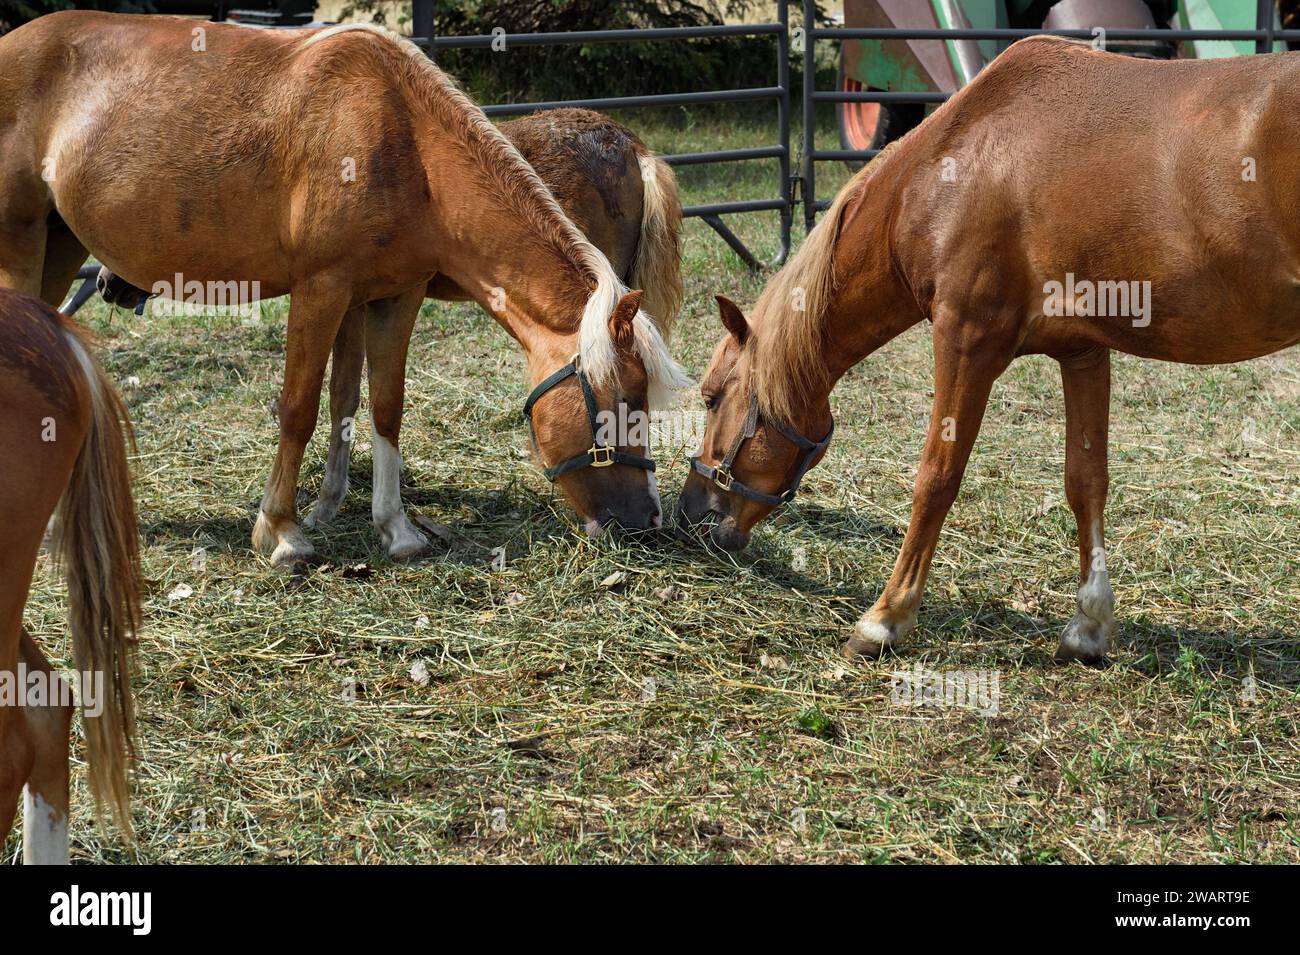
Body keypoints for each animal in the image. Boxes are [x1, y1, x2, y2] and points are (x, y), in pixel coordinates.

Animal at [676, 37, 1300, 665]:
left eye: (711, 398)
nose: (690, 515)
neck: (947, 172)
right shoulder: (1082, 352)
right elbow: (1086, 481)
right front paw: (1088, 627)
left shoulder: (966, 341)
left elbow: (937, 477)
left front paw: (884, 621)